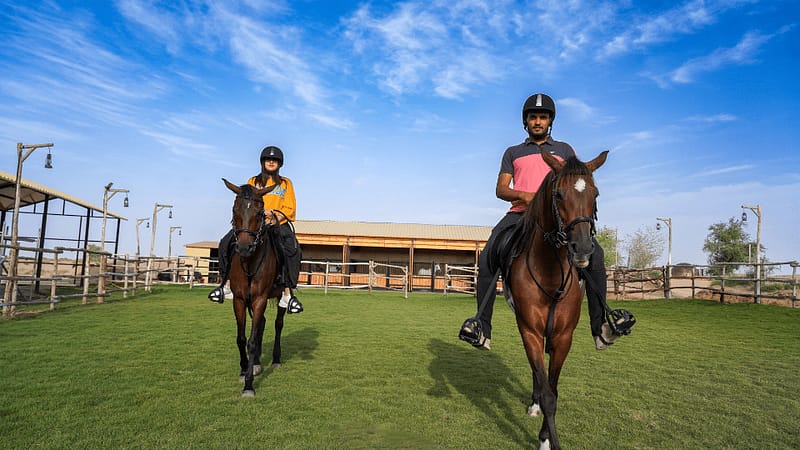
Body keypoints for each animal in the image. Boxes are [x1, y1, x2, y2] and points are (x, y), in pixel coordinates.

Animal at [222, 178, 288, 398]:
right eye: (234, 210)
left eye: (260, 213)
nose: (244, 248)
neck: (249, 263)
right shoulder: (240, 299)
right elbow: (242, 338)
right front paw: (245, 370)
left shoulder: (259, 298)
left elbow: (251, 341)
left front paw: (249, 385)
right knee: (262, 325)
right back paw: (258, 363)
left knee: (277, 324)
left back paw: (275, 359)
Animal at [510, 149, 608, 448]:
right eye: (559, 195)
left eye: (595, 194)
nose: (583, 248)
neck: (551, 274)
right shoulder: (529, 330)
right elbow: (546, 393)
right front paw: (547, 440)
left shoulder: (564, 336)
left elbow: (552, 390)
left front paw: (544, 438)